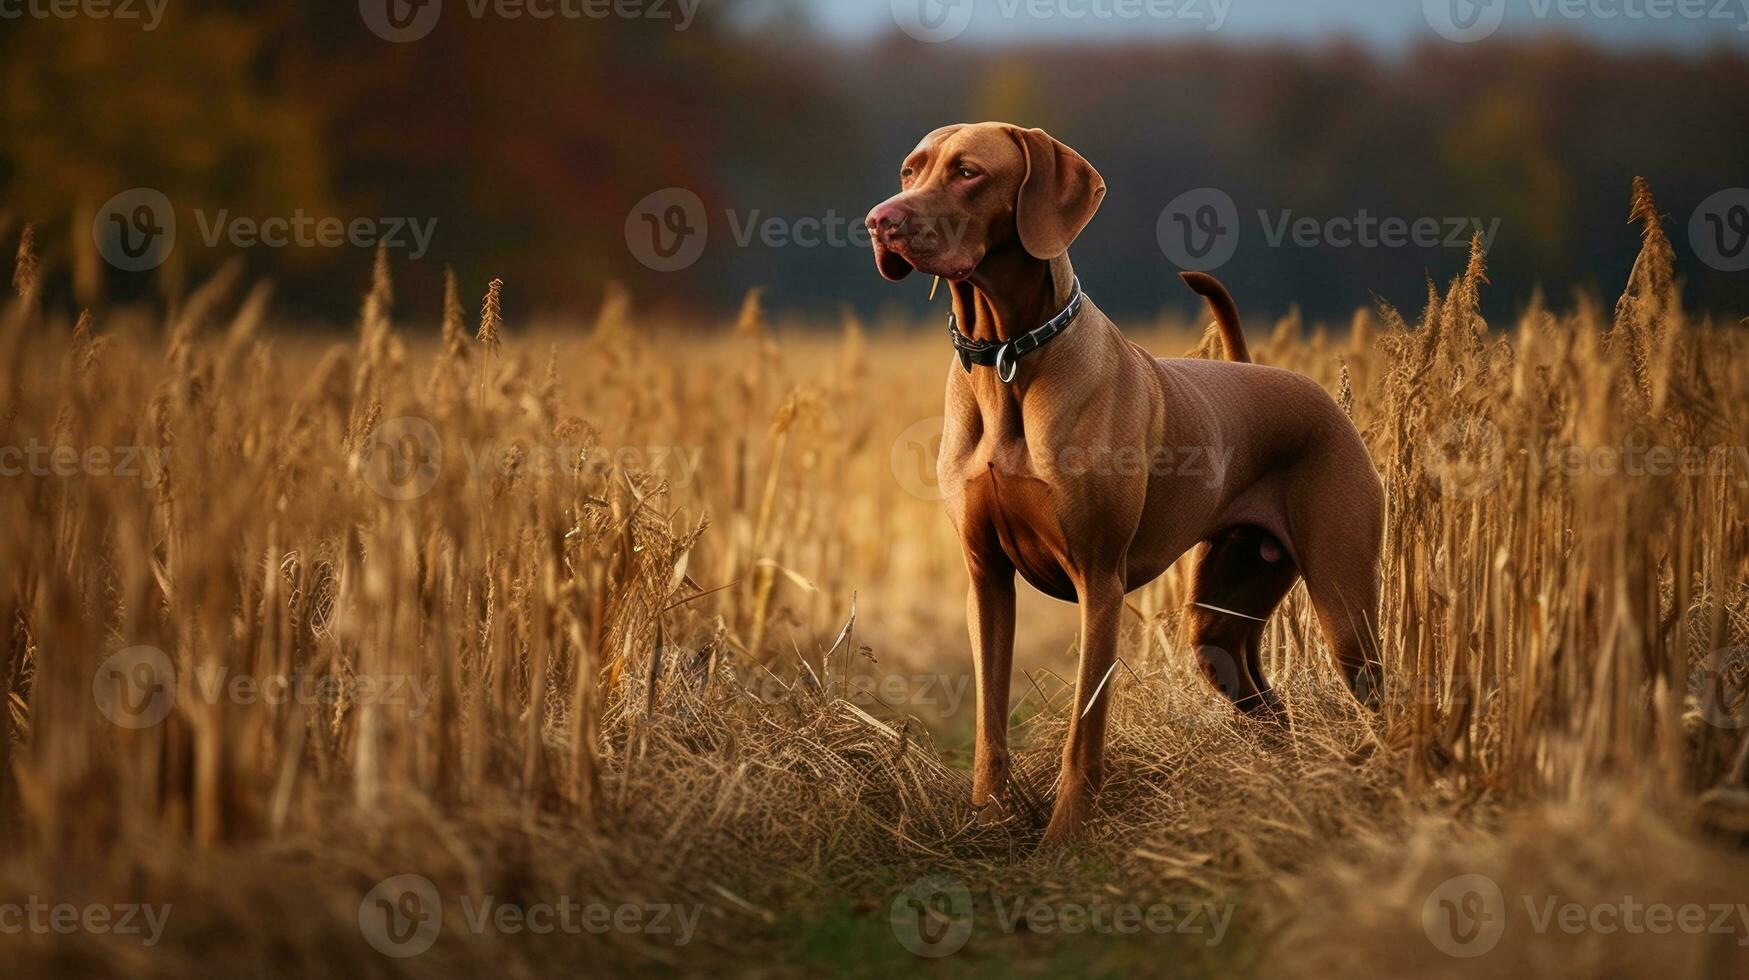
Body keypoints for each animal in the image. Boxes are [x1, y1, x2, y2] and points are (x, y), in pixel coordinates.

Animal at [860, 122, 1378, 843]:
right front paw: (986, 819)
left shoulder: (1098, 582)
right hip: (1217, 626)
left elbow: (1084, 730)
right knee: (1270, 707)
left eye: (967, 172)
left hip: (1345, 608)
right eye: (911, 170)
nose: (879, 221)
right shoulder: (985, 578)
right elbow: (990, 718)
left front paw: (1064, 837)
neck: (1006, 354)